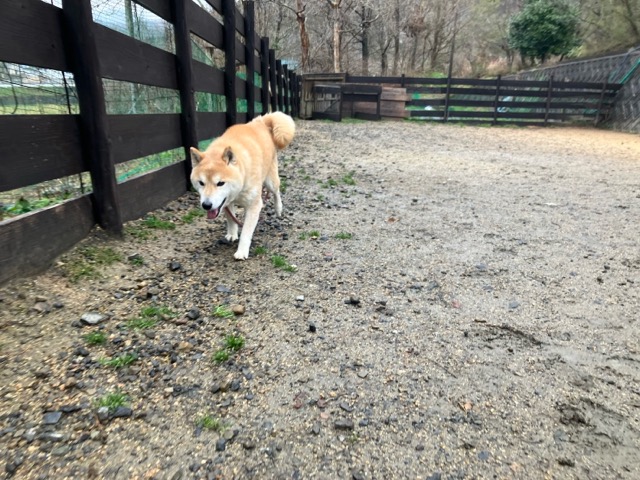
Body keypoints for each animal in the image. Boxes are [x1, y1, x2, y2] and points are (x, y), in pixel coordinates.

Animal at [190, 112, 296, 260]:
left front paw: (242, 251)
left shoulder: (253, 205)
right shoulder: (226, 203)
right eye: (201, 183)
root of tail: (260, 121)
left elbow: (246, 232)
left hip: (270, 181)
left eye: (220, 183)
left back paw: (278, 208)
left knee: (276, 192)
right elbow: (231, 220)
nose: (206, 205)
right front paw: (232, 234)